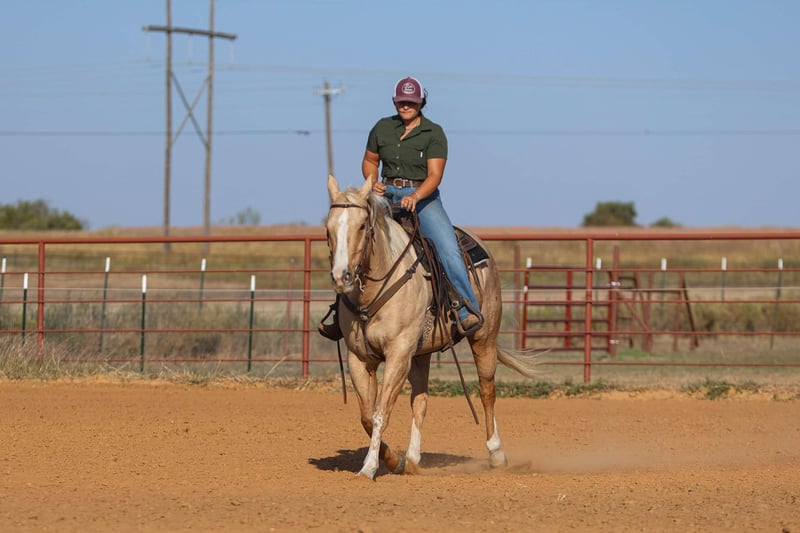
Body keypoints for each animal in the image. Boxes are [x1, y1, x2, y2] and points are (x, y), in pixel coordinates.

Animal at [325, 174, 538, 480]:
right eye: (327, 228)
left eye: (362, 225)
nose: (341, 277)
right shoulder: (360, 358)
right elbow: (367, 415)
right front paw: (394, 460)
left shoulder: (398, 354)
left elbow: (380, 413)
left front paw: (369, 467)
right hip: (421, 353)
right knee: (421, 400)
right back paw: (413, 459)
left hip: (483, 338)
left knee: (487, 391)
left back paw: (496, 454)